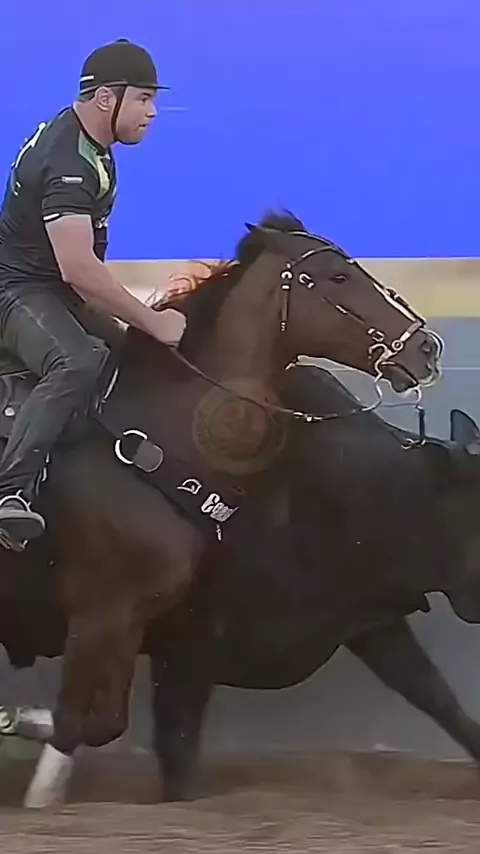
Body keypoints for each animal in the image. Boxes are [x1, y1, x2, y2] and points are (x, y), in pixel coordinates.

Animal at [0, 210, 441, 809]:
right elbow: (75, 721)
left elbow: (100, 723)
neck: (152, 434)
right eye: (337, 277)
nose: (427, 348)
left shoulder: (129, 616)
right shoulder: (97, 614)